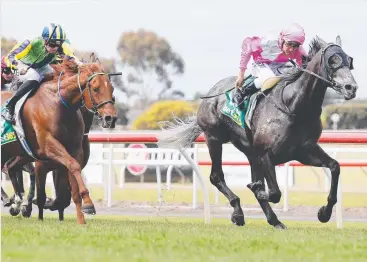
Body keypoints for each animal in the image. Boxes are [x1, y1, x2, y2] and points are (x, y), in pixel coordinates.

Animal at [0, 58, 118, 224]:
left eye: (112, 89)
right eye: (95, 89)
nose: (110, 118)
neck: (60, 103)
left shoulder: (74, 150)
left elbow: (73, 180)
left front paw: (82, 217)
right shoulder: (48, 146)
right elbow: (70, 169)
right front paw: (88, 203)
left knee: (10, 168)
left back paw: (16, 202)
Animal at [159, 35, 360, 228]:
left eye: (349, 60)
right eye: (332, 60)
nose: (351, 87)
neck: (294, 106)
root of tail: (211, 93)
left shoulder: (304, 151)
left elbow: (334, 166)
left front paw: (324, 213)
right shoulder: (266, 154)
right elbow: (274, 192)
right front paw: (255, 190)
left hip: (249, 152)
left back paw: (274, 220)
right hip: (214, 138)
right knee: (216, 176)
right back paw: (239, 213)